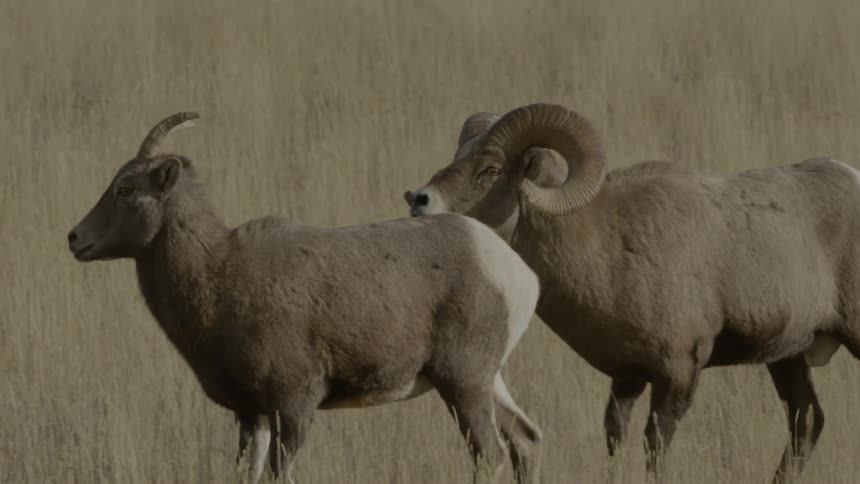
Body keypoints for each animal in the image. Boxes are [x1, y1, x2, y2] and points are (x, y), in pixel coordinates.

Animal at [66, 112, 543, 484]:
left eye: (126, 189)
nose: (75, 238)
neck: (219, 275)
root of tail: (517, 273)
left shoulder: (293, 407)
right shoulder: (252, 416)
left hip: (464, 383)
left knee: (490, 453)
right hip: (487, 381)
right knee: (526, 440)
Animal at [403, 102, 860, 483]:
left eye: (491, 169)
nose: (419, 200)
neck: (608, 247)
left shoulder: (678, 375)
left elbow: (654, 449)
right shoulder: (627, 378)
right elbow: (615, 440)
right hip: (786, 358)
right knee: (806, 422)